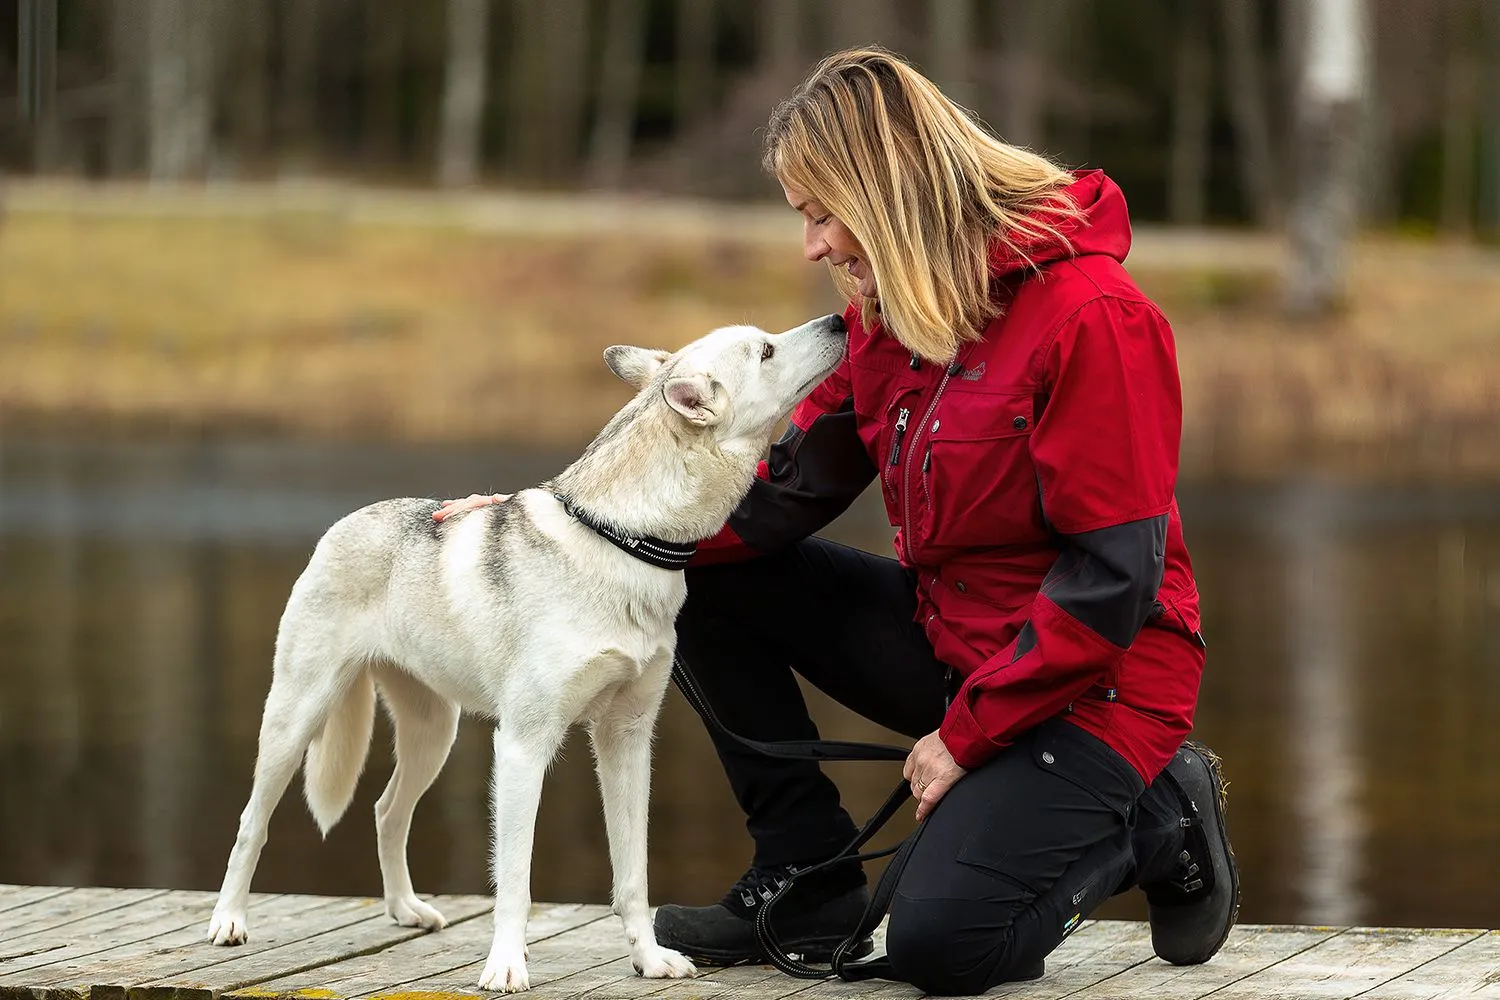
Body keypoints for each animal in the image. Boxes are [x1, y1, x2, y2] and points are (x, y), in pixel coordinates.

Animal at [205, 313, 852, 995]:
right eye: (766, 351)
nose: (840, 320)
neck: (626, 539)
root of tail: (348, 520)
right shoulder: (522, 745)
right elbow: (514, 877)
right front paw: (506, 967)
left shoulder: (626, 739)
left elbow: (633, 876)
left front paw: (649, 960)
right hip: (296, 717)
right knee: (252, 822)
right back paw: (228, 921)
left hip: (433, 734)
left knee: (386, 811)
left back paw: (406, 910)